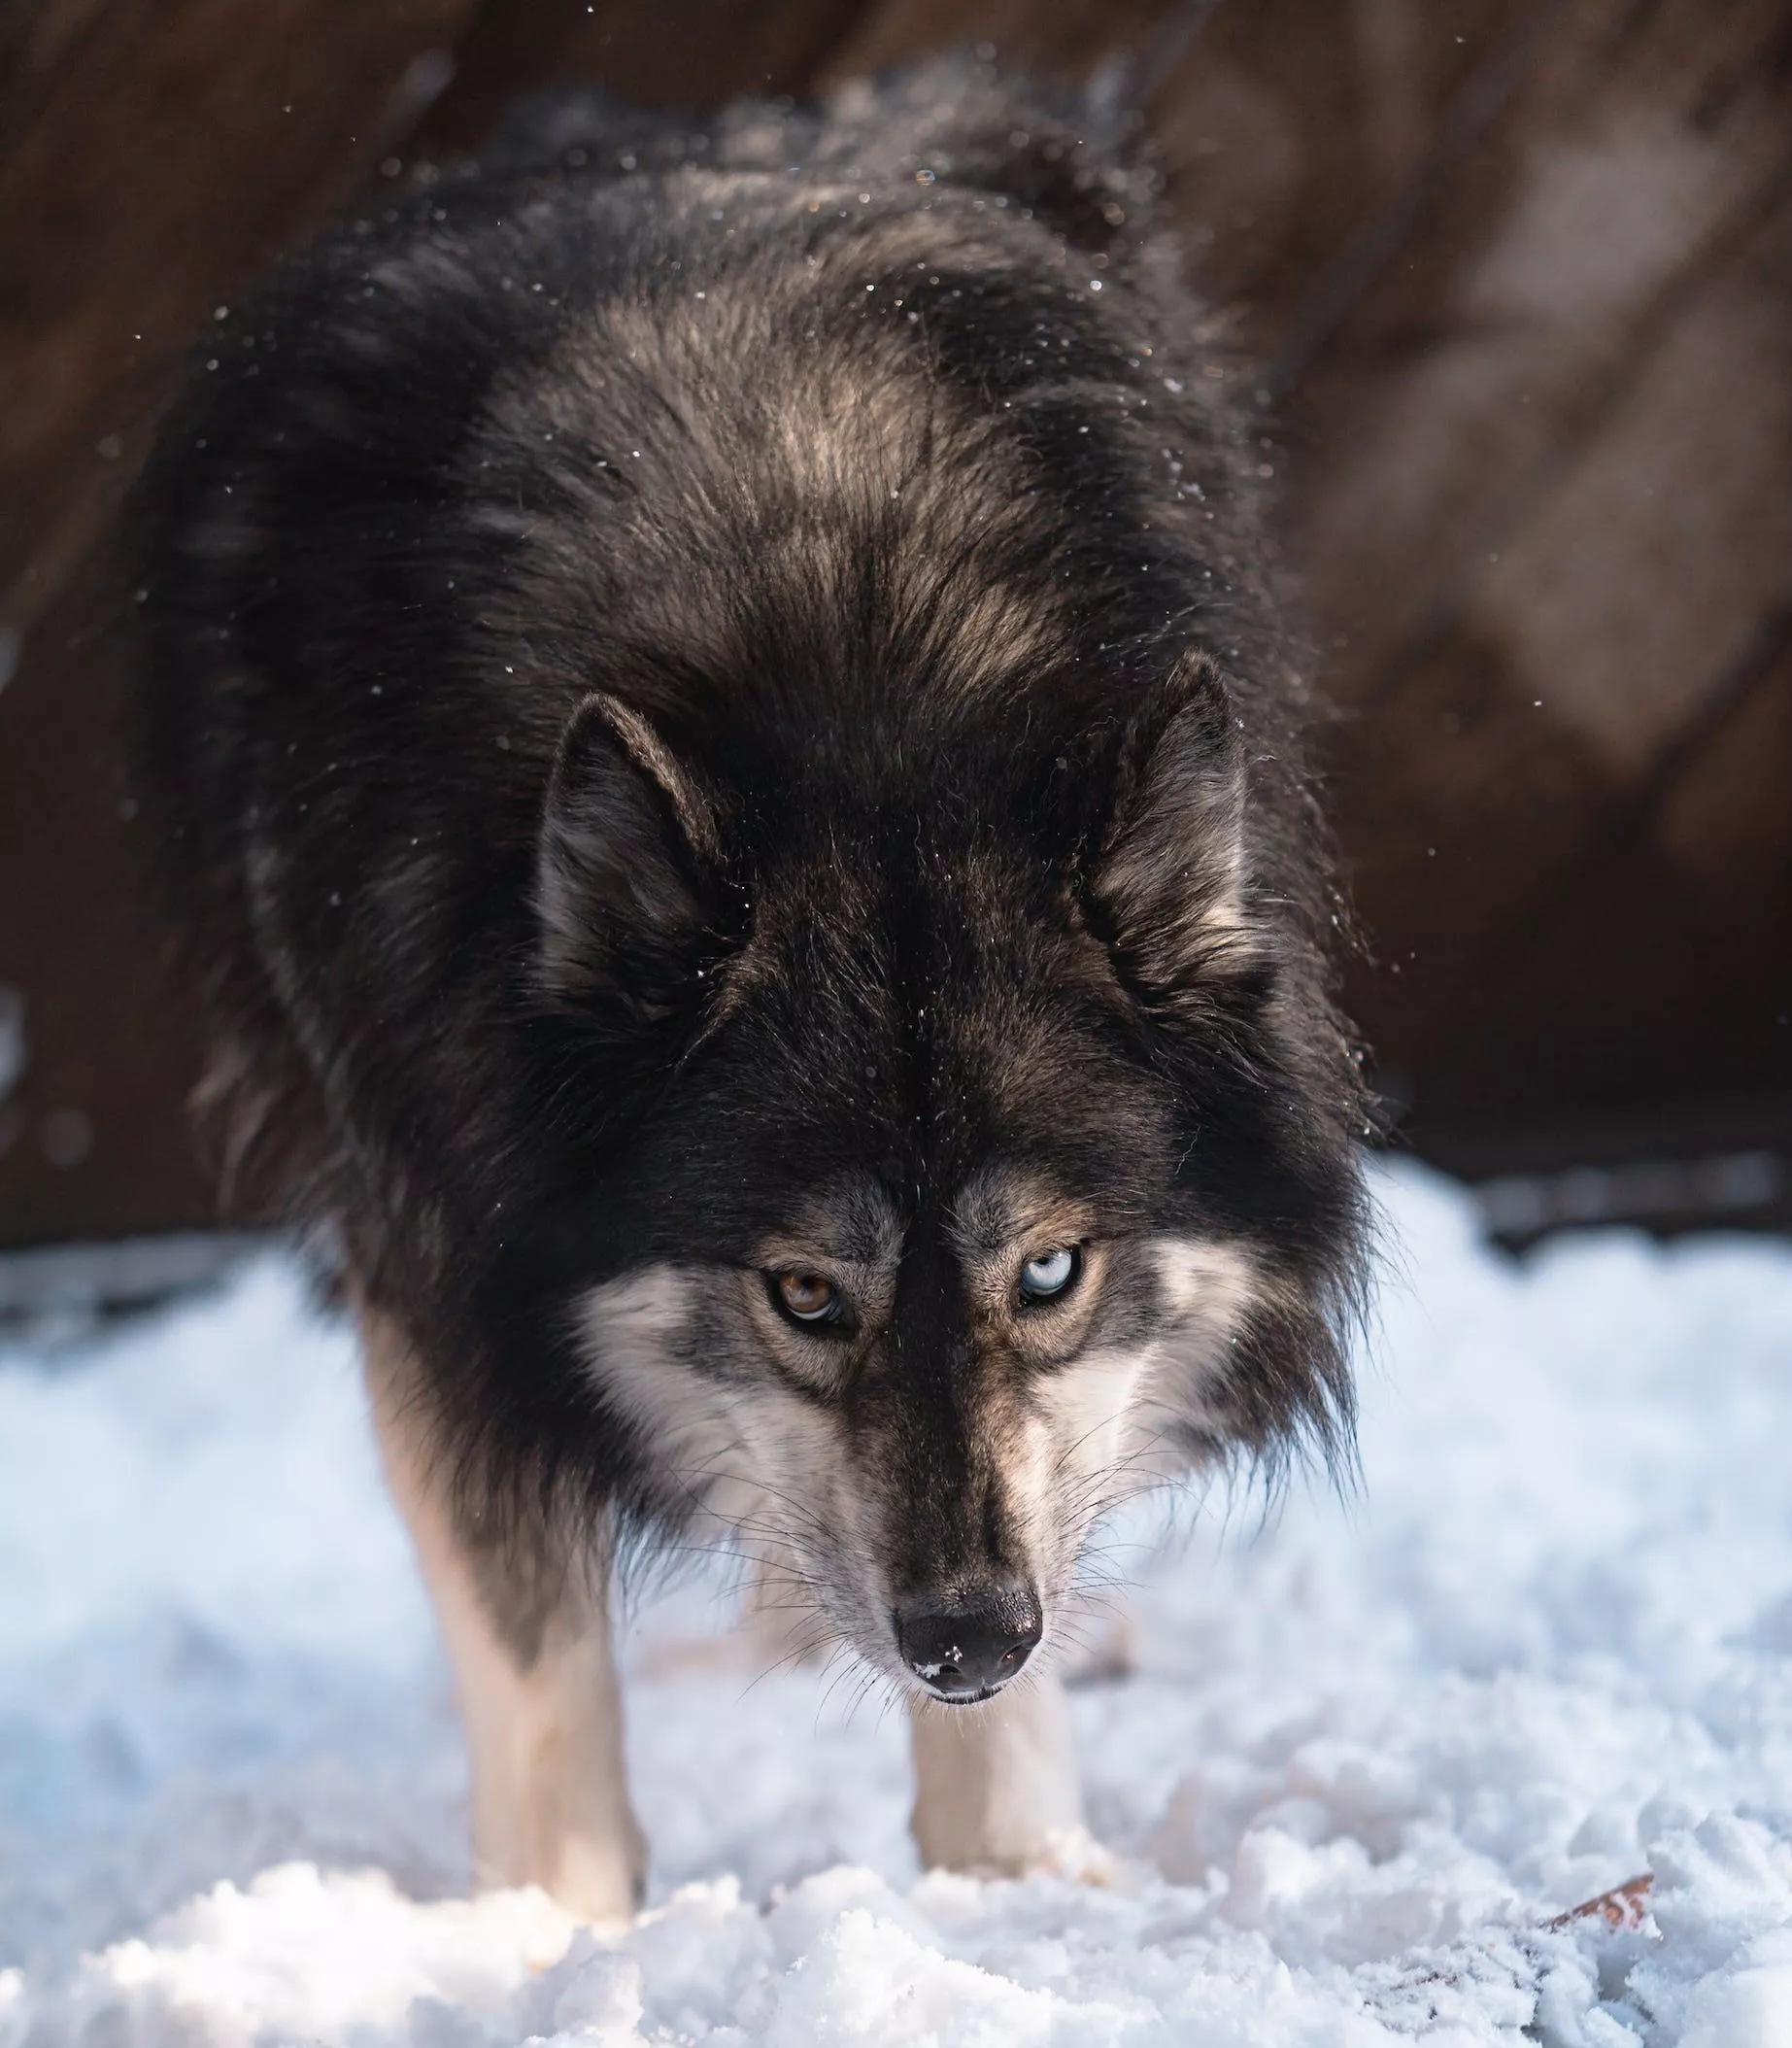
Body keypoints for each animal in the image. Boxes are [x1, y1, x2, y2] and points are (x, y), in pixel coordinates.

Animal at [133, 51, 1375, 1917]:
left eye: (1052, 1272)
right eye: (803, 1294)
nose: (969, 1638)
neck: (840, 653)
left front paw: (1010, 1874)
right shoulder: (436, 1247)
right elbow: (530, 1640)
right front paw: (548, 1937)